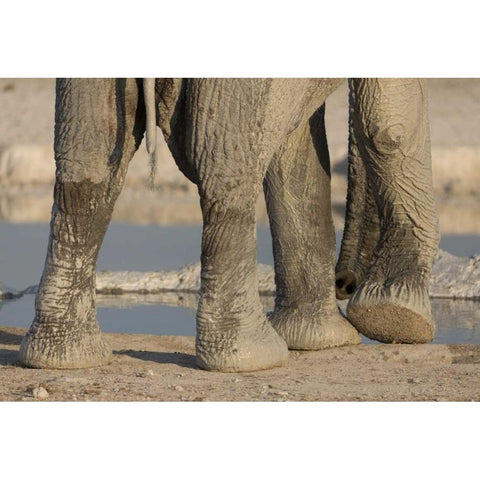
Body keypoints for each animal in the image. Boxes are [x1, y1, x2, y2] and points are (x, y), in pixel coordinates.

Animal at [18, 79, 438, 374]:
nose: (344, 284)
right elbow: (388, 126)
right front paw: (398, 319)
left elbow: (296, 144)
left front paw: (323, 340)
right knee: (224, 169)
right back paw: (253, 359)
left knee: (86, 165)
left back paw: (62, 360)